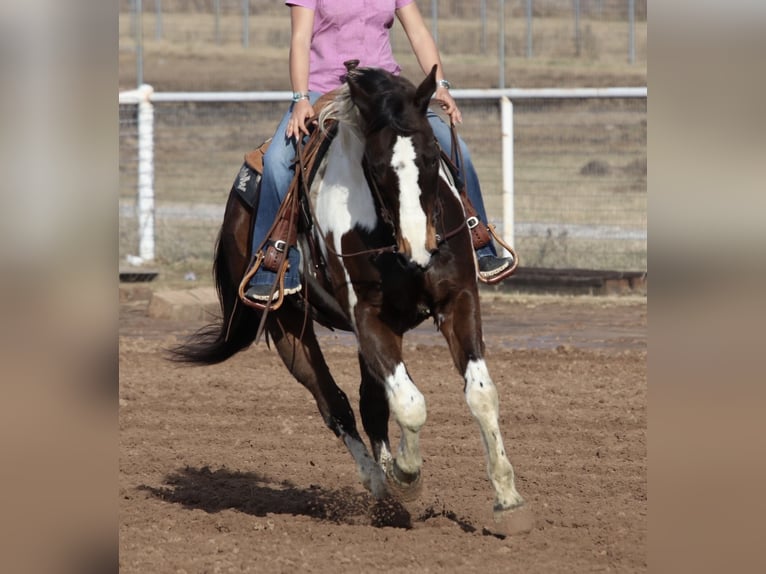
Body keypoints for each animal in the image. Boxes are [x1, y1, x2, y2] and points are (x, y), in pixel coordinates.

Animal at [172, 64, 527, 523]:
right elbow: (410, 403)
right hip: (289, 328)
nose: (421, 248)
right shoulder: (367, 317)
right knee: (334, 404)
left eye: (433, 156)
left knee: (370, 403)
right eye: (375, 166)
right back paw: (380, 484)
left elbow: (480, 394)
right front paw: (407, 475)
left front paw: (508, 500)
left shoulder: (457, 300)